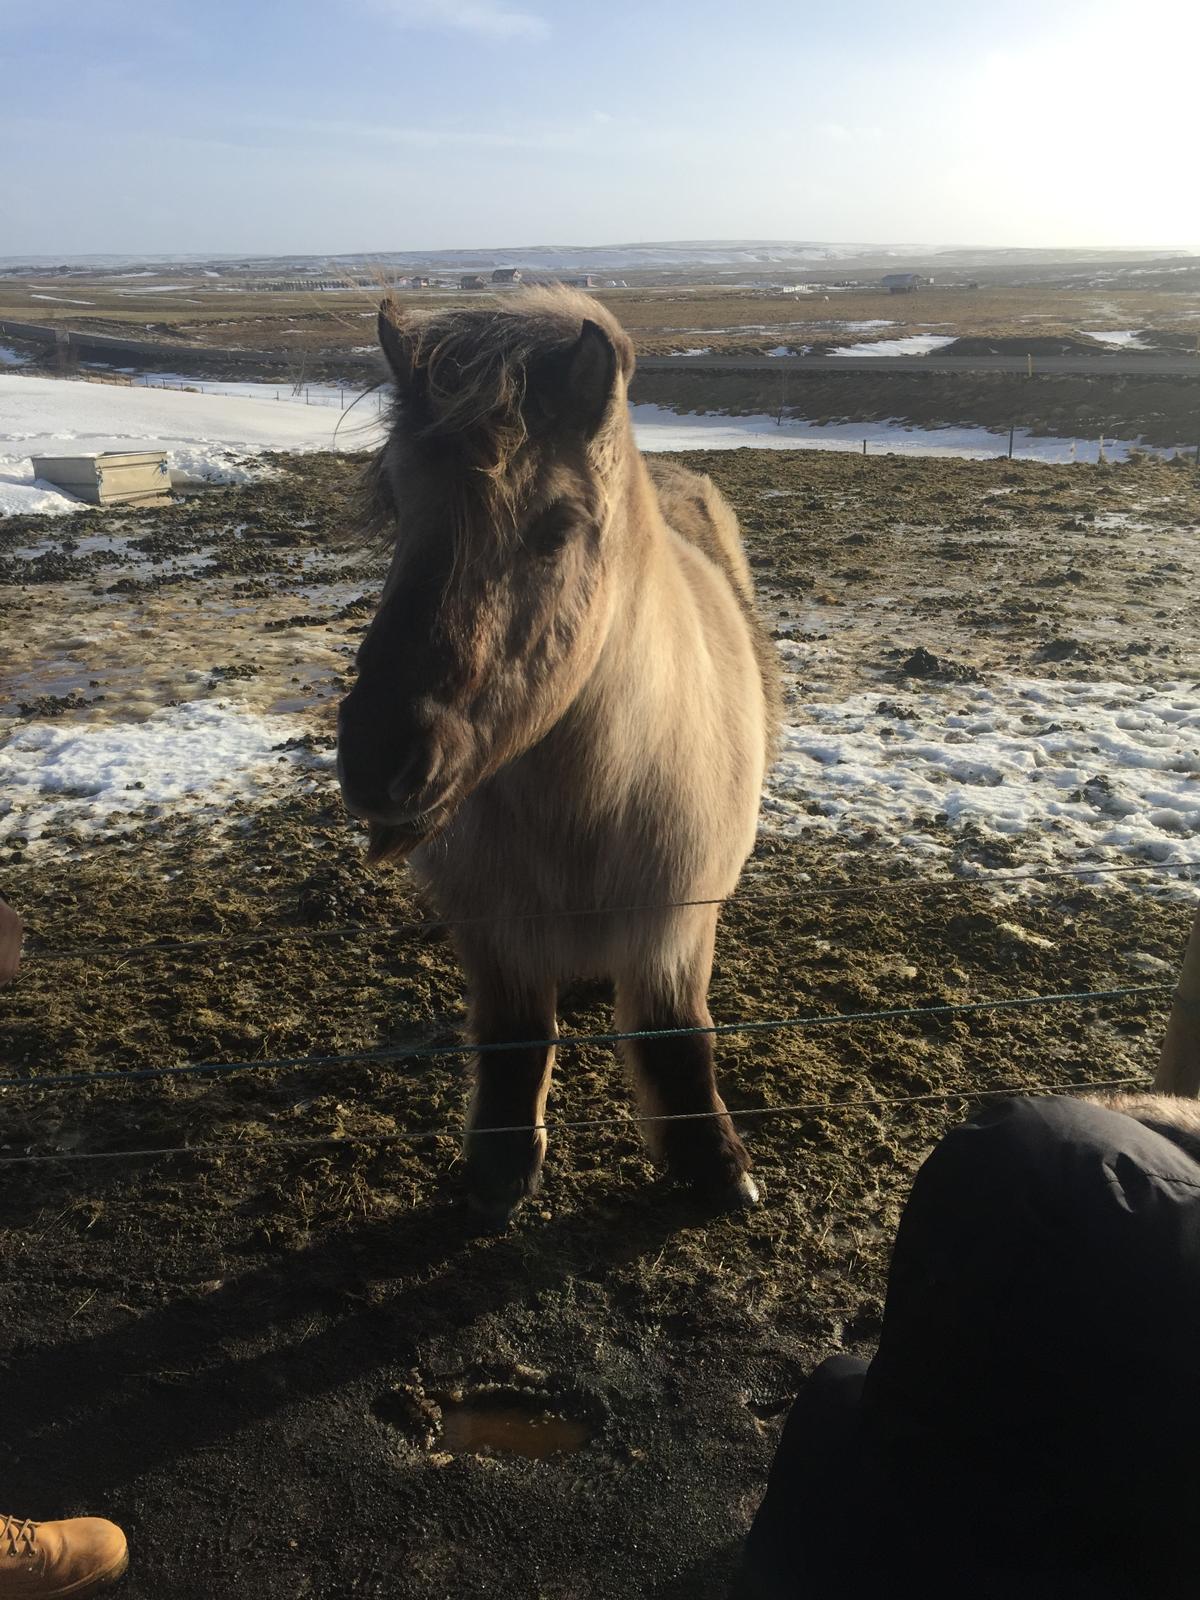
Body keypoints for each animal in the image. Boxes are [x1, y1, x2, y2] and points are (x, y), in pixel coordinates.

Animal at [337, 287, 779, 1228]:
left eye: (559, 526)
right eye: (397, 505)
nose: (380, 759)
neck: (594, 799)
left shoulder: (675, 921)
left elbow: (677, 1040)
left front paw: (715, 1166)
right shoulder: (493, 931)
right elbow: (513, 1041)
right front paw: (501, 1167)